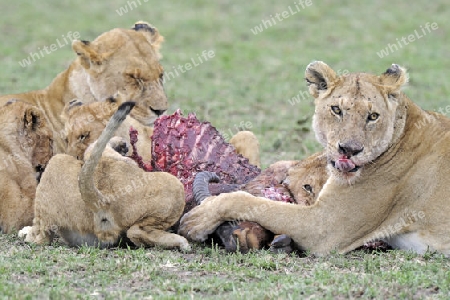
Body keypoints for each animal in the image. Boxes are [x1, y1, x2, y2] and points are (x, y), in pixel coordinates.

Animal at [20, 102, 189, 250]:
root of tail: (104, 201)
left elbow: (93, 148)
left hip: (57, 164)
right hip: (174, 186)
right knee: (136, 231)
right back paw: (182, 243)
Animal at [179, 62, 450, 256]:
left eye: (373, 116)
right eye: (337, 110)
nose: (349, 149)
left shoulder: (324, 227)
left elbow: (249, 201)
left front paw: (199, 218)